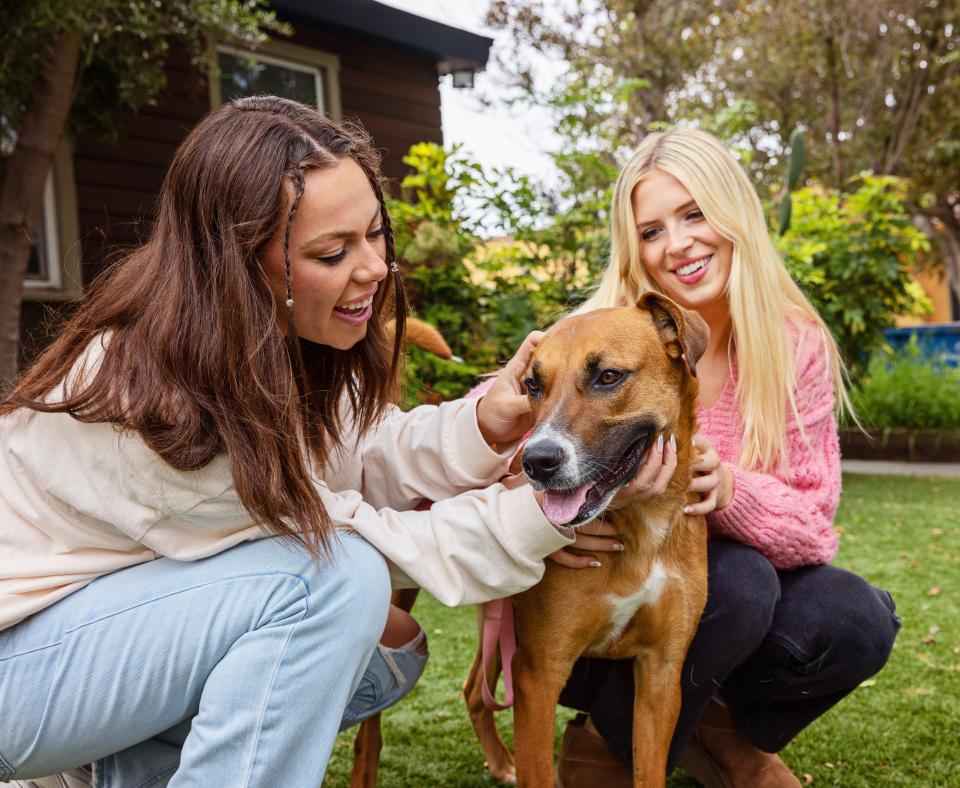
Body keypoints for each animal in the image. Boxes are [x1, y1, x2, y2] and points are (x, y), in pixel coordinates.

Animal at [462, 292, 716, 784]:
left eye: (608, 376)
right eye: (532, 385)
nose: (535, 462)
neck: (640, 528)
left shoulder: (662, 673)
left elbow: (649, 771)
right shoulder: (538, 674)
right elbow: (539, 771)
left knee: (473, 691)